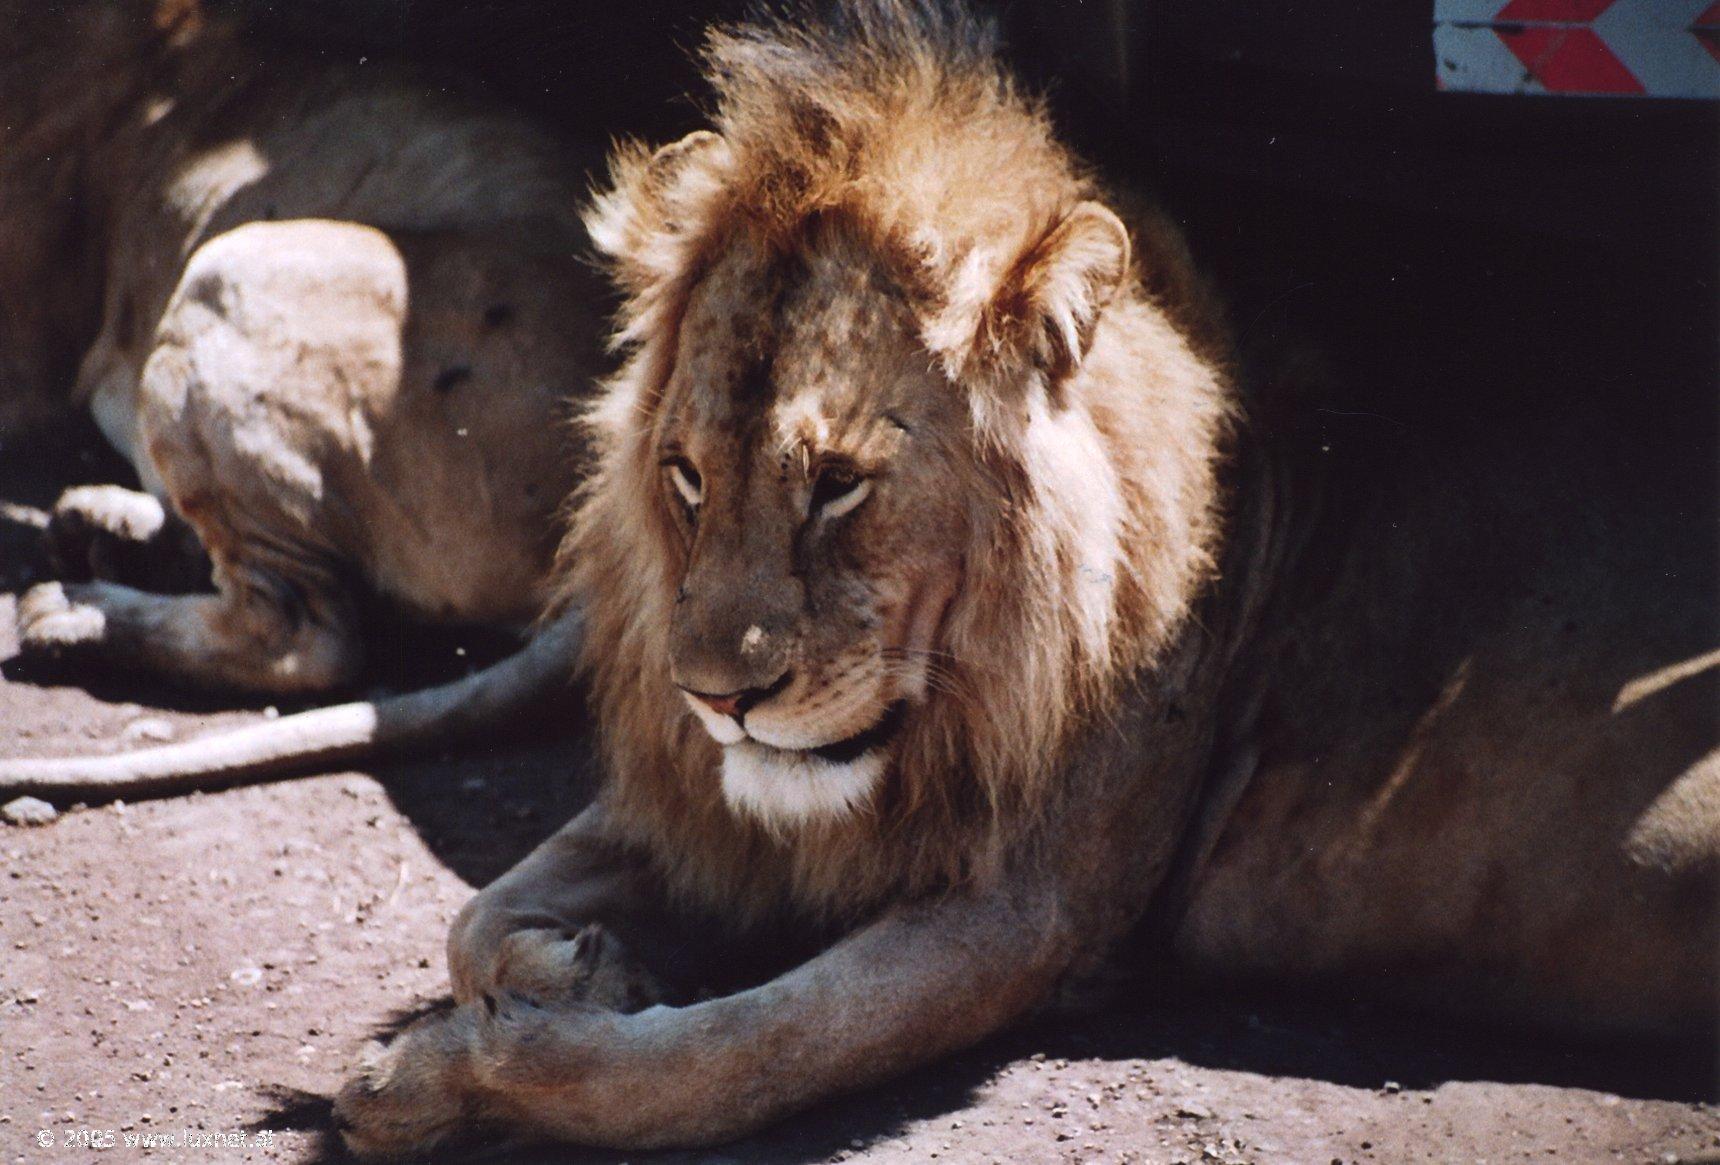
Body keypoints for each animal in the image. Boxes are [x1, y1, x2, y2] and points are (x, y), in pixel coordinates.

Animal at [328, 0, 1713, 1156]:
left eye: (839, 483)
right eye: (685, 476)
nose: (715, 699)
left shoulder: (1029, 911)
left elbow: (736, 1055)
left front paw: (442, 1076)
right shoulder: (719, 808)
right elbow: (472, 918)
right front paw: (581, 966)